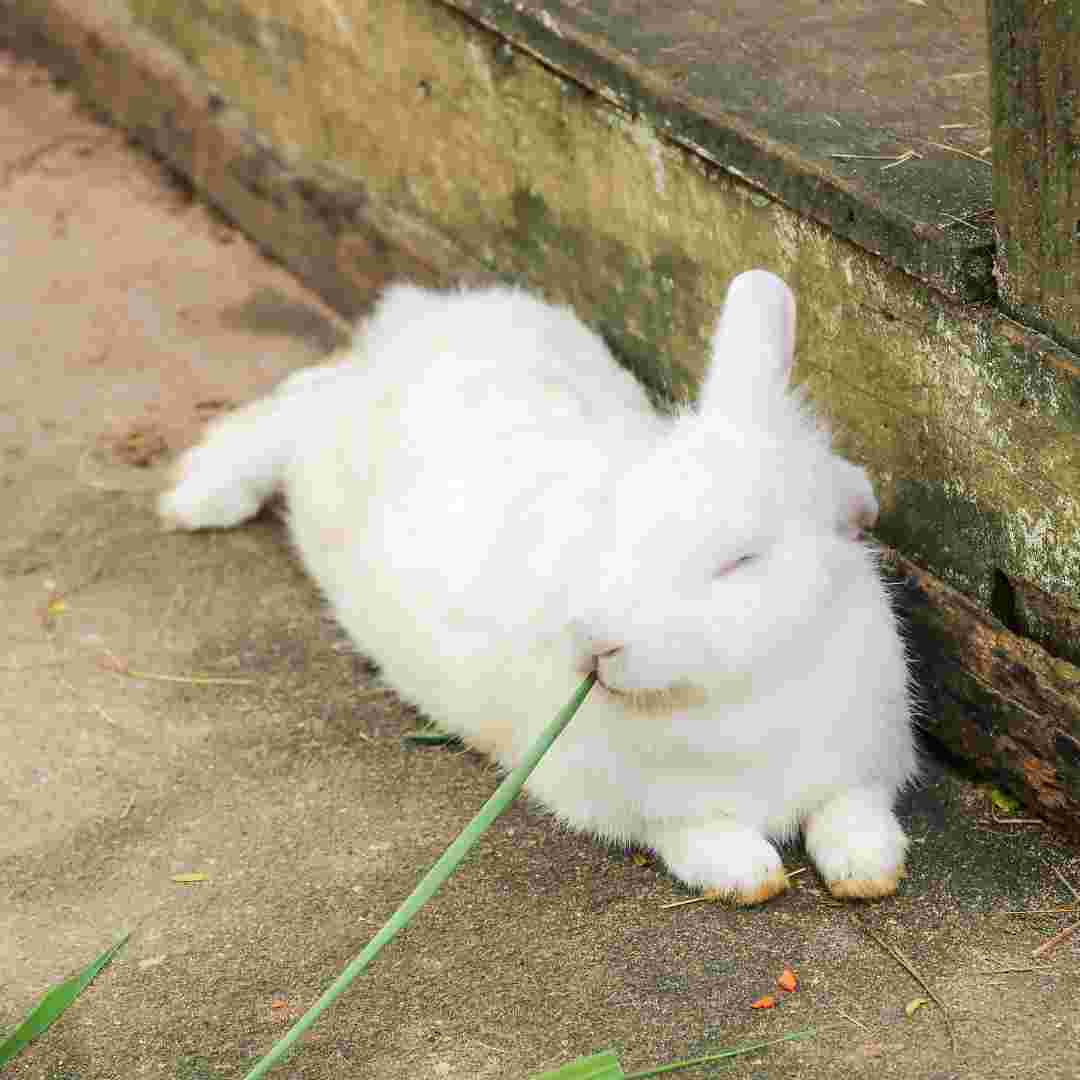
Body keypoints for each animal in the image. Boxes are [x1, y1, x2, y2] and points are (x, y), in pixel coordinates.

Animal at [162, 267, 920, 902]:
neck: (745, 696)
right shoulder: (643, 805)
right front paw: (750, 876)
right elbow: (701, 836)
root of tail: (420, 316)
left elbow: (853, 814)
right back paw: (197, 497)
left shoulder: (861, 766)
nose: (594, 641)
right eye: (614, 514)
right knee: (292, 407)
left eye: (740, 561)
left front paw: (868, 870)